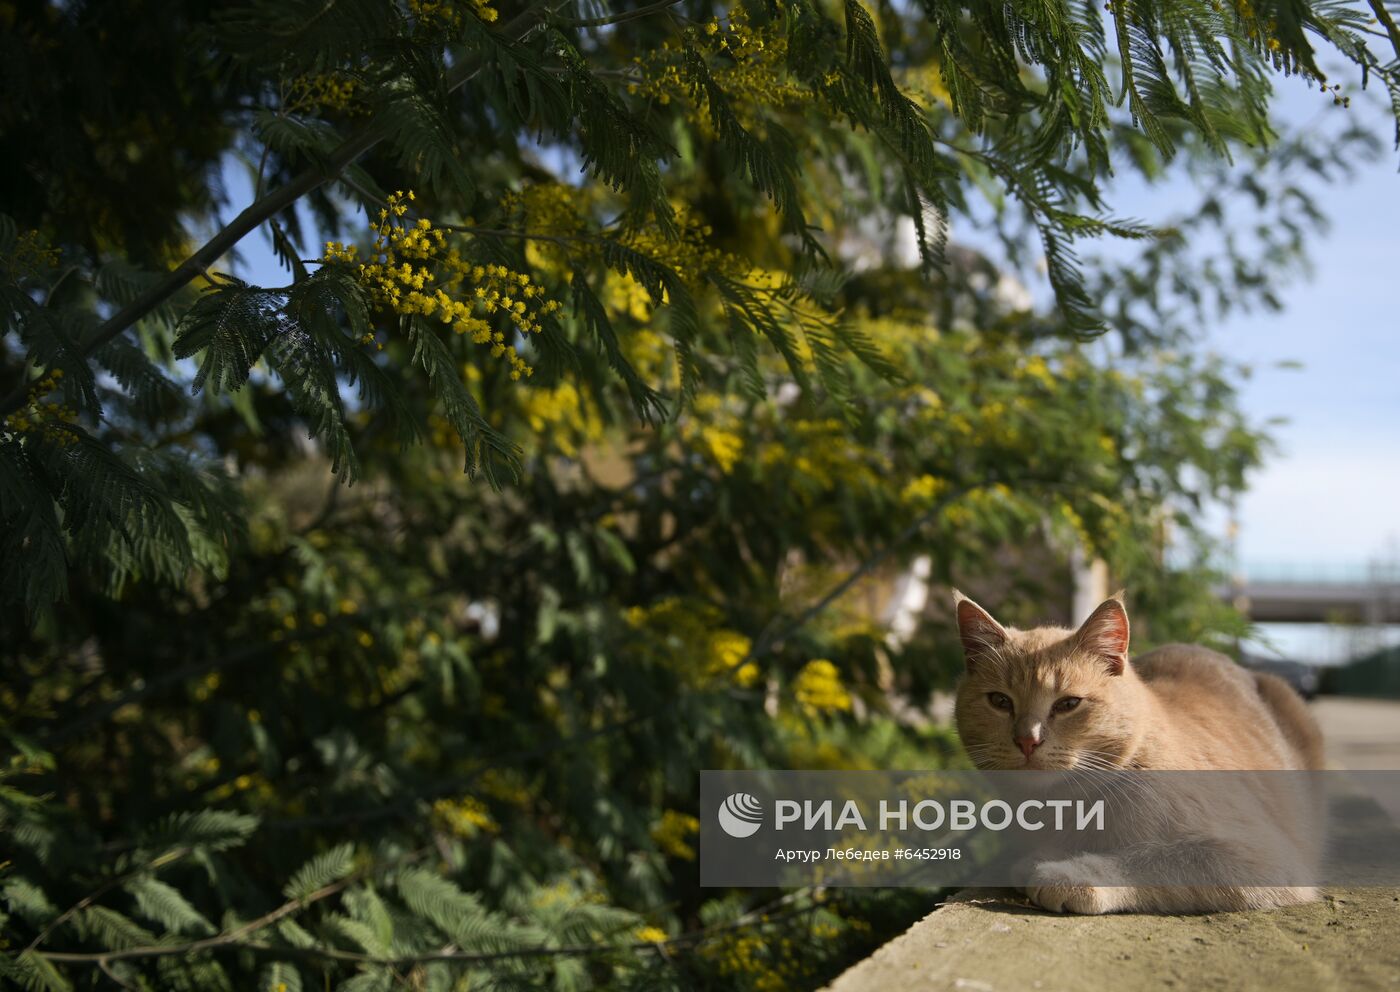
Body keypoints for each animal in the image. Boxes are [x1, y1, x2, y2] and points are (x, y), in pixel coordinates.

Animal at [952, 587, 1321, 912]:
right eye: (1000, 701)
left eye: (1068, 704)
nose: (1028, 740)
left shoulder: (1258, 854)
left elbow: (1155, 859)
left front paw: (1067, 872)